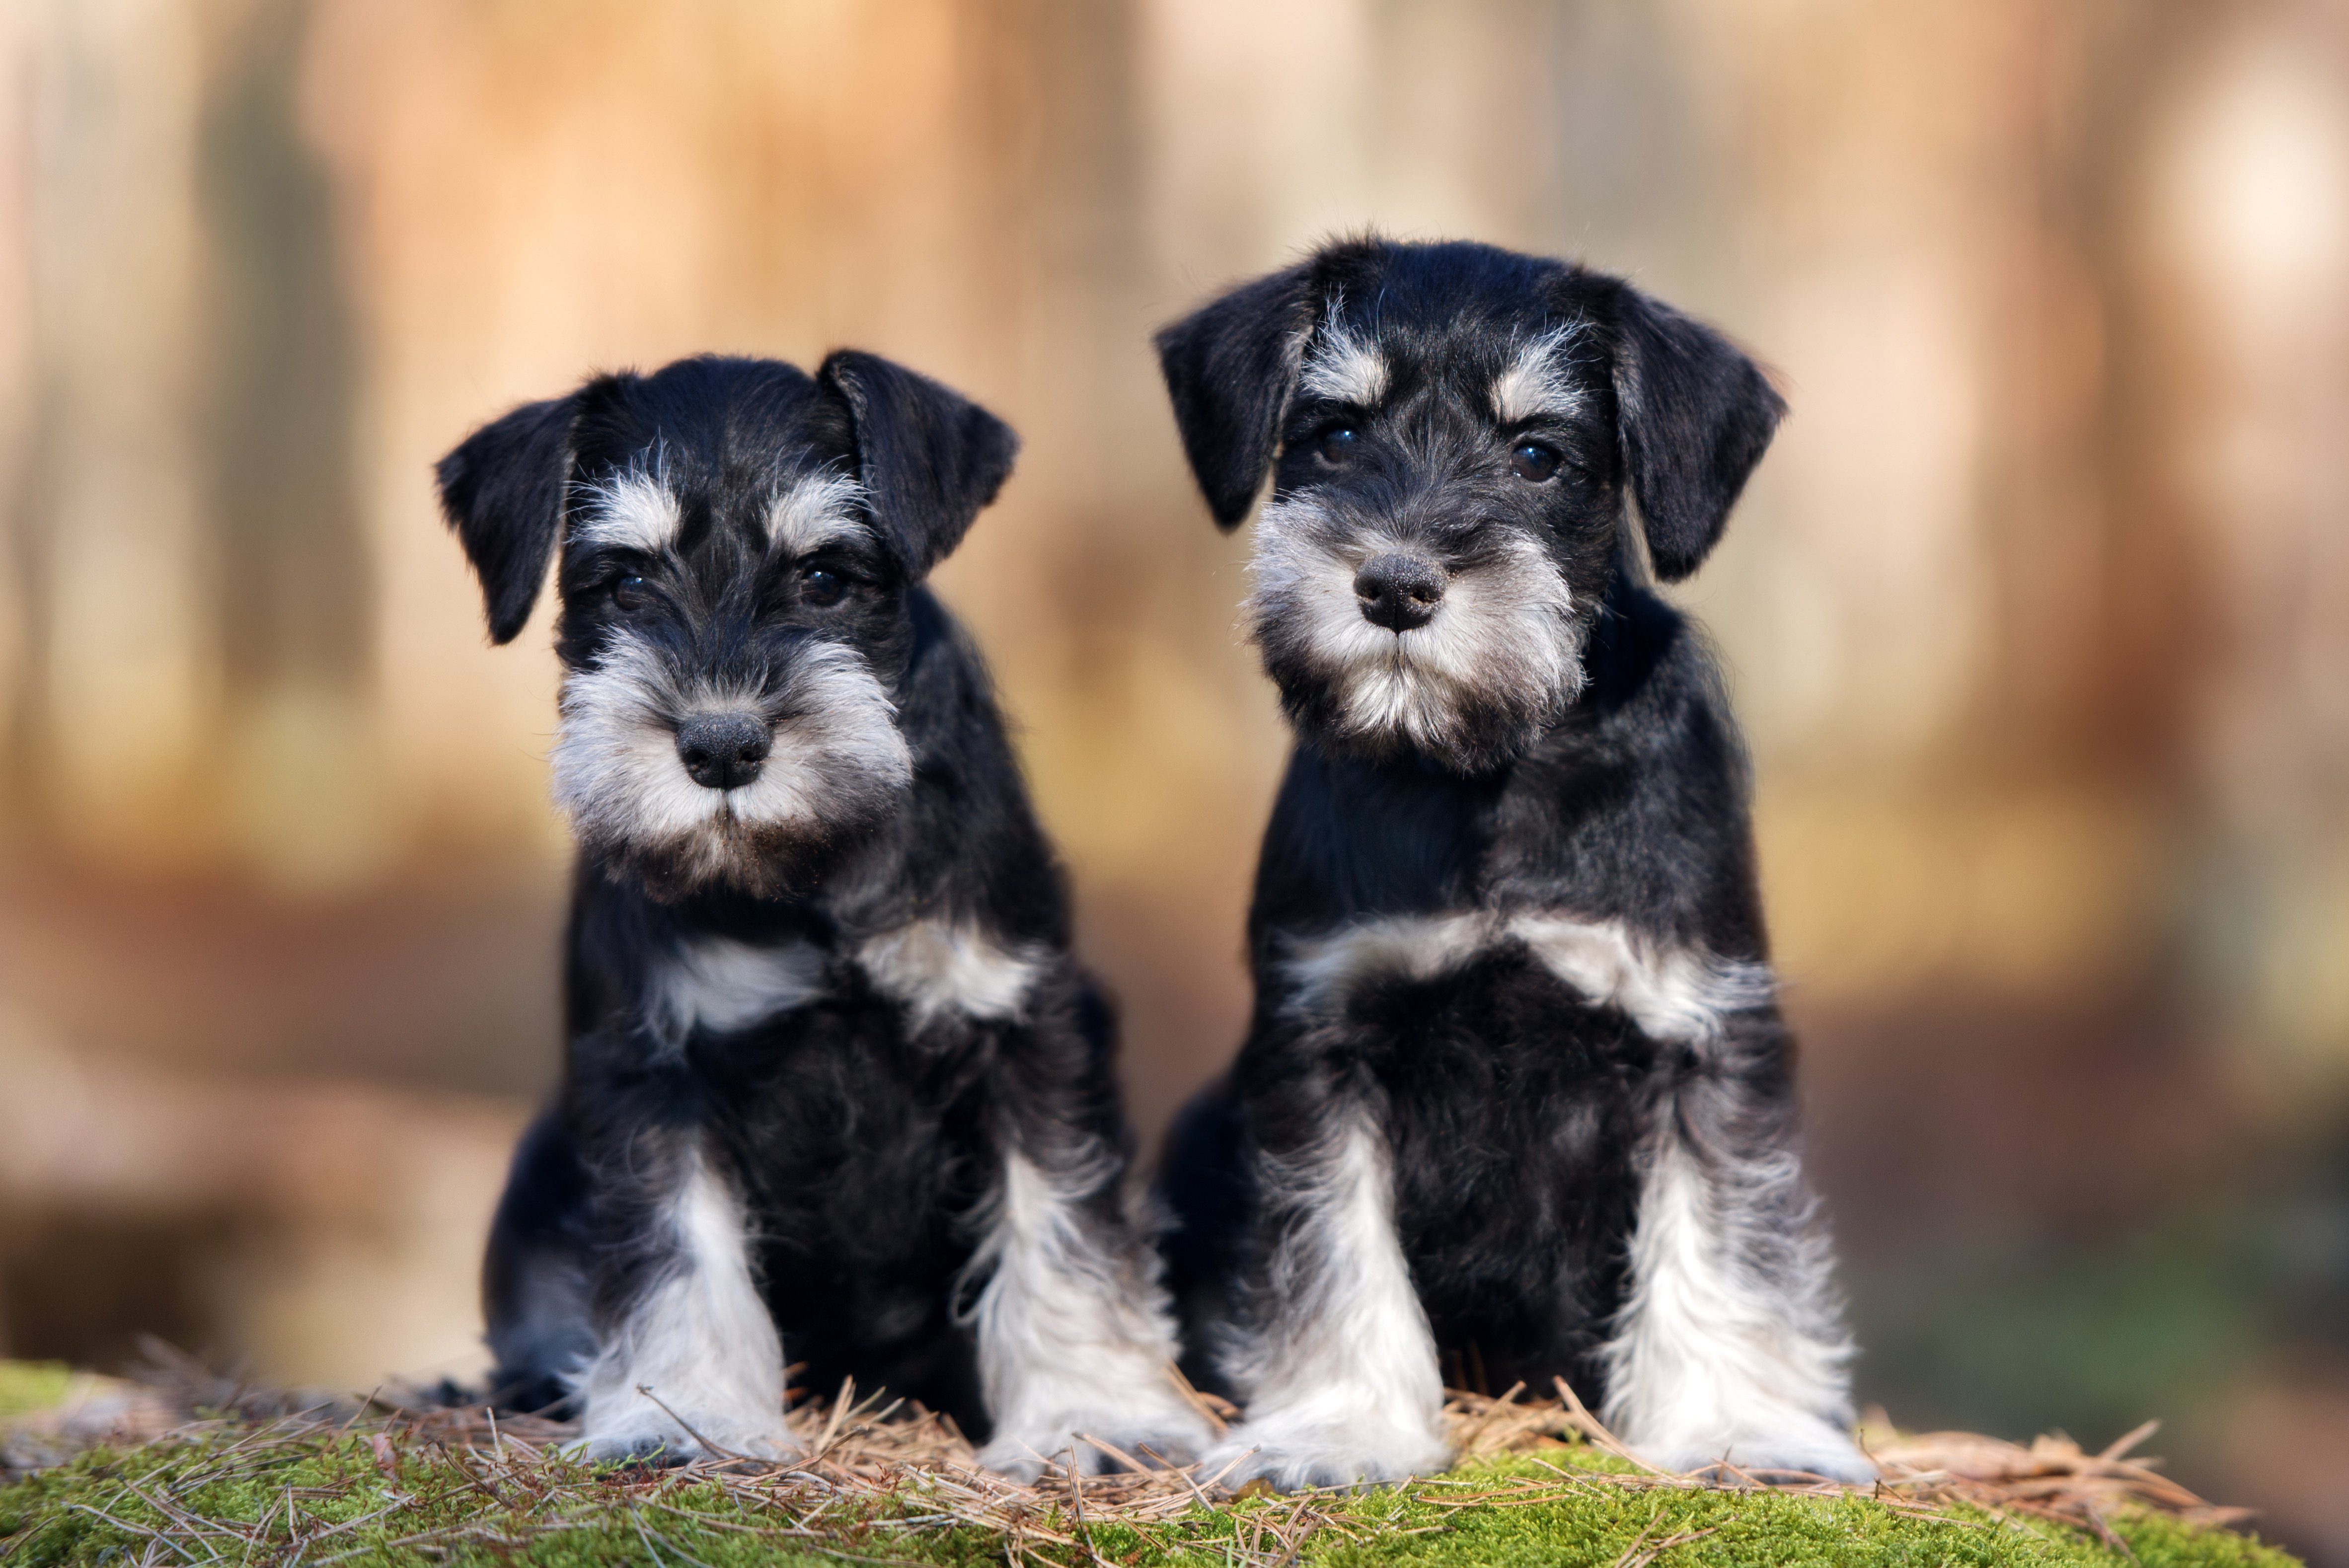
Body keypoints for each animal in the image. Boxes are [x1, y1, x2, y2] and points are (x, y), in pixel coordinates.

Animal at [442, 352, 1212, 1474]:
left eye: (823, 579)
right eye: (624, 582)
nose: (720, 746)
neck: (809, 880)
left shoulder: (1030, 1030)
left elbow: (1060, 1223)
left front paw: (1098, 1418)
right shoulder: (653, 1069)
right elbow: (678, 1248)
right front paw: (684, 1417)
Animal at [1146, 239, 1860, 1493]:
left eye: (1538, 455)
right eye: (1335, 434)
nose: (1393, 586)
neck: (1488, 771)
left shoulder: (1703, 1033)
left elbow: (1721, 1242)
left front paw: (1741, 1429)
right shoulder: (1319, 1040)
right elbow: (1332, 1247)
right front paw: (1338, 1430)